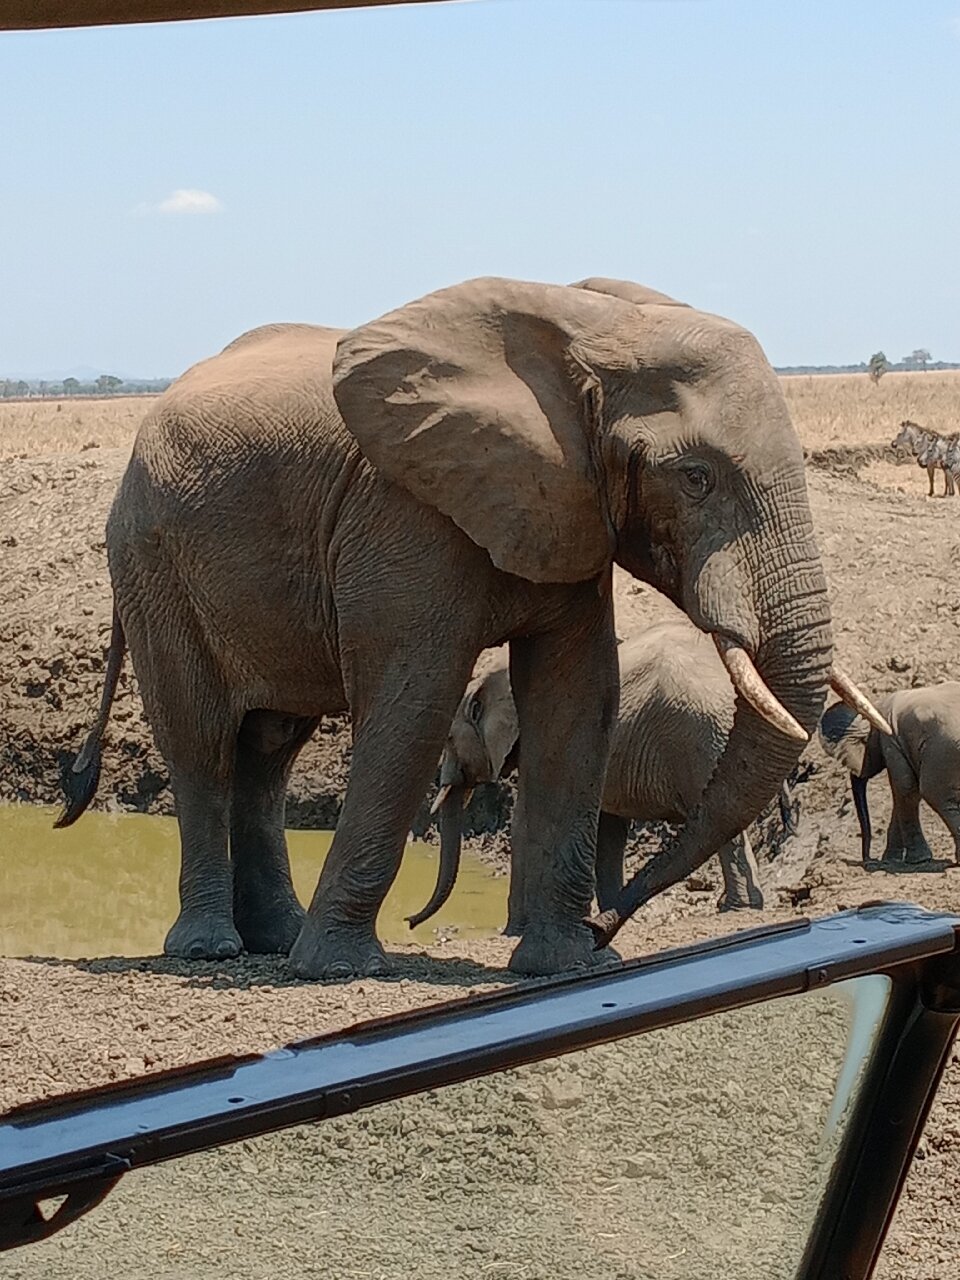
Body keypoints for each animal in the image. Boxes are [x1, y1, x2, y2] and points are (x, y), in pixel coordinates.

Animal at [410, 617, 772, 936]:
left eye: (449, 739)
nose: (409, 922)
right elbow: (608, 828)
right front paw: (605, 914)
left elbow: (526, 818)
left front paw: (513, 932)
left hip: (700, 736)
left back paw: (737, 907)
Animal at [819, 683, 960, 865]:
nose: (869, 860)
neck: (873, 708)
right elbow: (902, 794)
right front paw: (891, 859)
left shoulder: (891, 740)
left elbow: (905, 789)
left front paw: (917, 860)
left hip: (941, 752)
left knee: (936, 795)